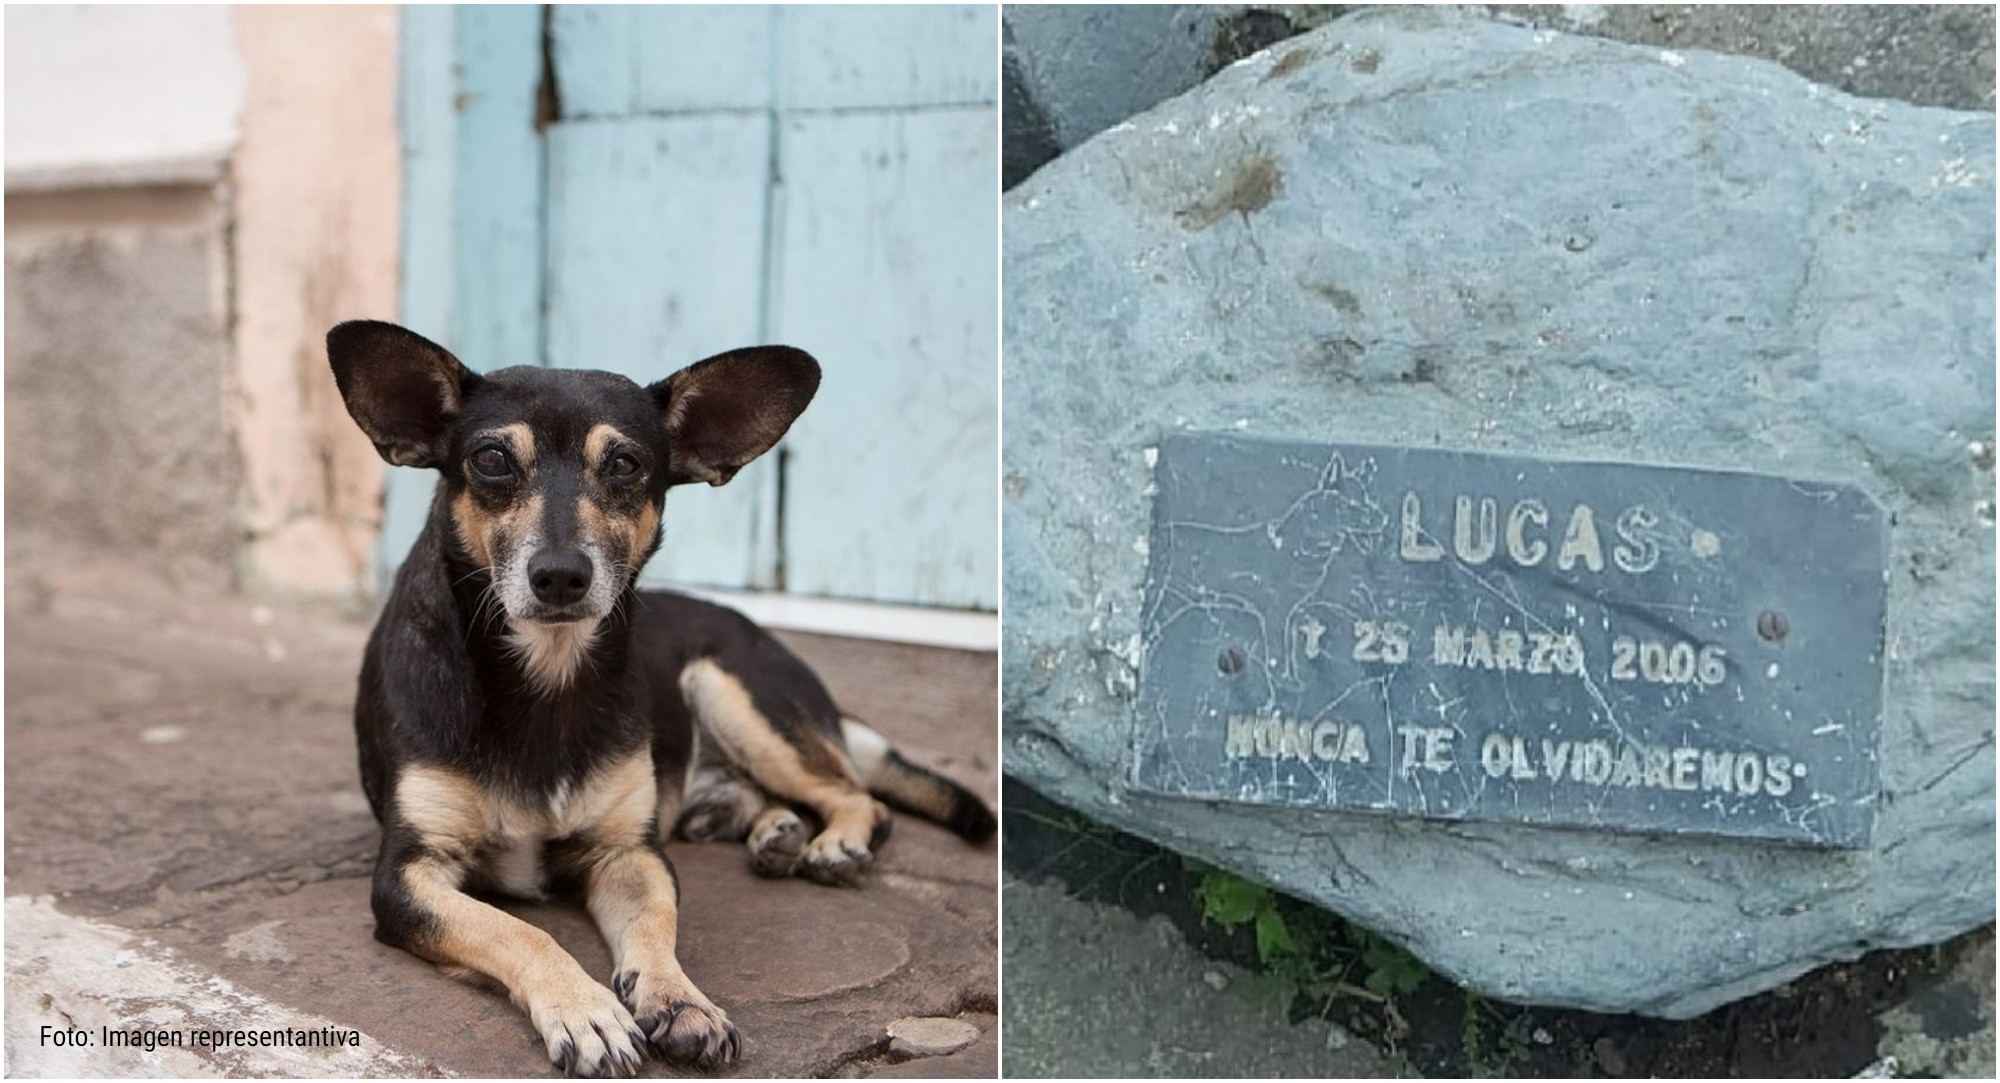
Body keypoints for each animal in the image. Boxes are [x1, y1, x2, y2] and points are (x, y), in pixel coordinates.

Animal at [328, 319, 1000, 1079]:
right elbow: (517, 929)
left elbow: (655, 926)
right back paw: (777, 834)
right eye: (493, 459)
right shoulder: (408, 875)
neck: (547, 676)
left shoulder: (632, 854)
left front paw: (681, 1000)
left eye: (624, 465)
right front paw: (586, 1008)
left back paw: (834, 841)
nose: (560, 575)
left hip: (732, 691)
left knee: (859, 794)